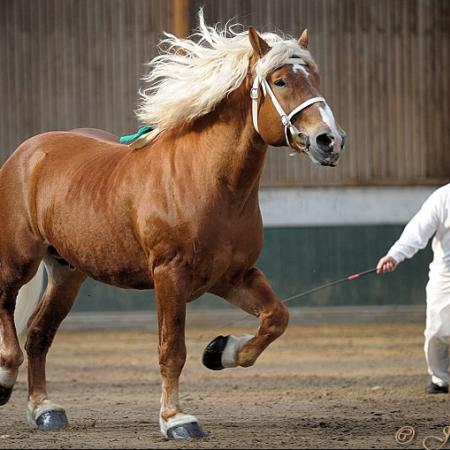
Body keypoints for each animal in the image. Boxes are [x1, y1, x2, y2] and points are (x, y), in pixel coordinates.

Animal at [0, 13, 344, 440]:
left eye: (315, 77)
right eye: (280, 81)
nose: (329, 141)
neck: (210, 183)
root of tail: (27, 152)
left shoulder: (233, 276)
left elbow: (276, 318)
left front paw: (220, 351)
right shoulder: (169, 274)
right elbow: (172, 350)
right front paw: (176, 419)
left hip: (67, 272)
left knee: (38, 334)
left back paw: (44, 409)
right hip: (18, 260)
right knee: (9, 311)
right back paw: (5, 378)